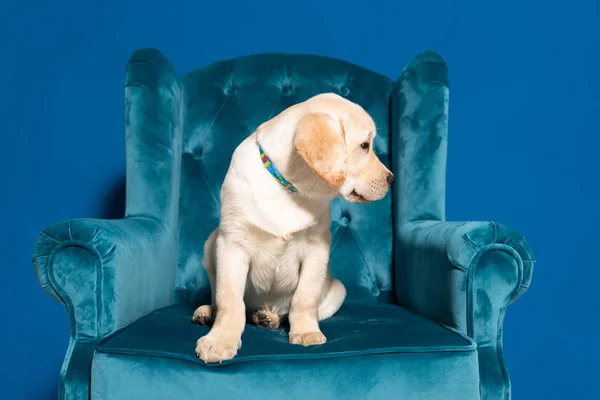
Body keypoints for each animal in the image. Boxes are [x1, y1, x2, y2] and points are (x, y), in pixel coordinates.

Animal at [192, 92, 394, 364]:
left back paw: (268, 318)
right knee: (219, 296)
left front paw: (306, 332)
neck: (289, 188)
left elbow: (304, 298)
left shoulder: (316, 248)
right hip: (210, 244)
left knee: (288, 311)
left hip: (337, 290)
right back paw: (208, 312)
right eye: (364, 145)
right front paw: (220, 340)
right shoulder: (232, 243)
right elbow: (229, 299)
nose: (392, 179)